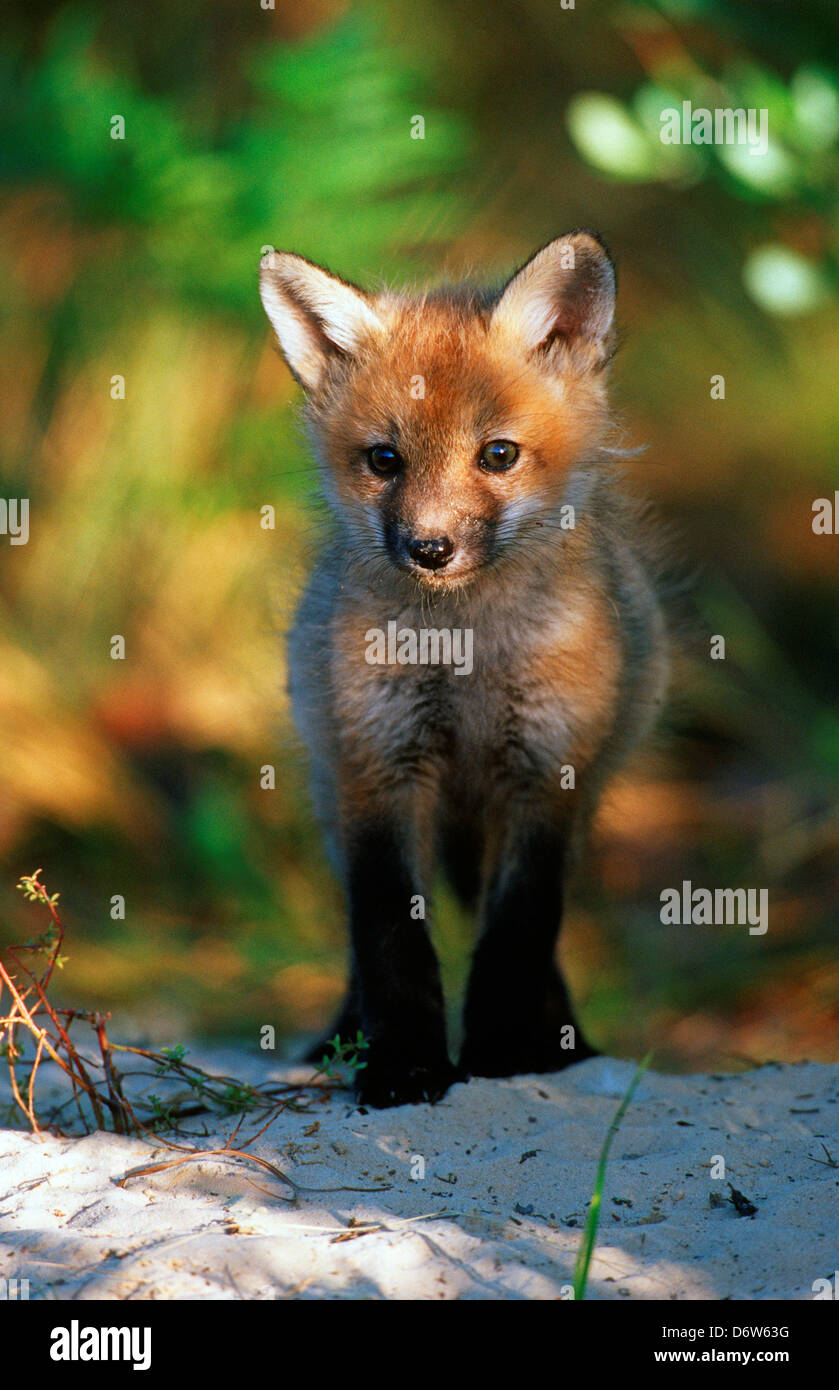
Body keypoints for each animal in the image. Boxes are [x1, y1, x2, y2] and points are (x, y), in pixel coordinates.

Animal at [258, 231, 668, 1108]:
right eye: (384, 460)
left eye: (498, 455)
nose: (429, 548)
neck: (465, 658)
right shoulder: (379, 767)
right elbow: (390, 938)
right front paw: (402, 1068)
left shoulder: (546, 771)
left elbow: (517, 934)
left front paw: (507, 1057)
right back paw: (338, 1042)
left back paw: (567, 1042)